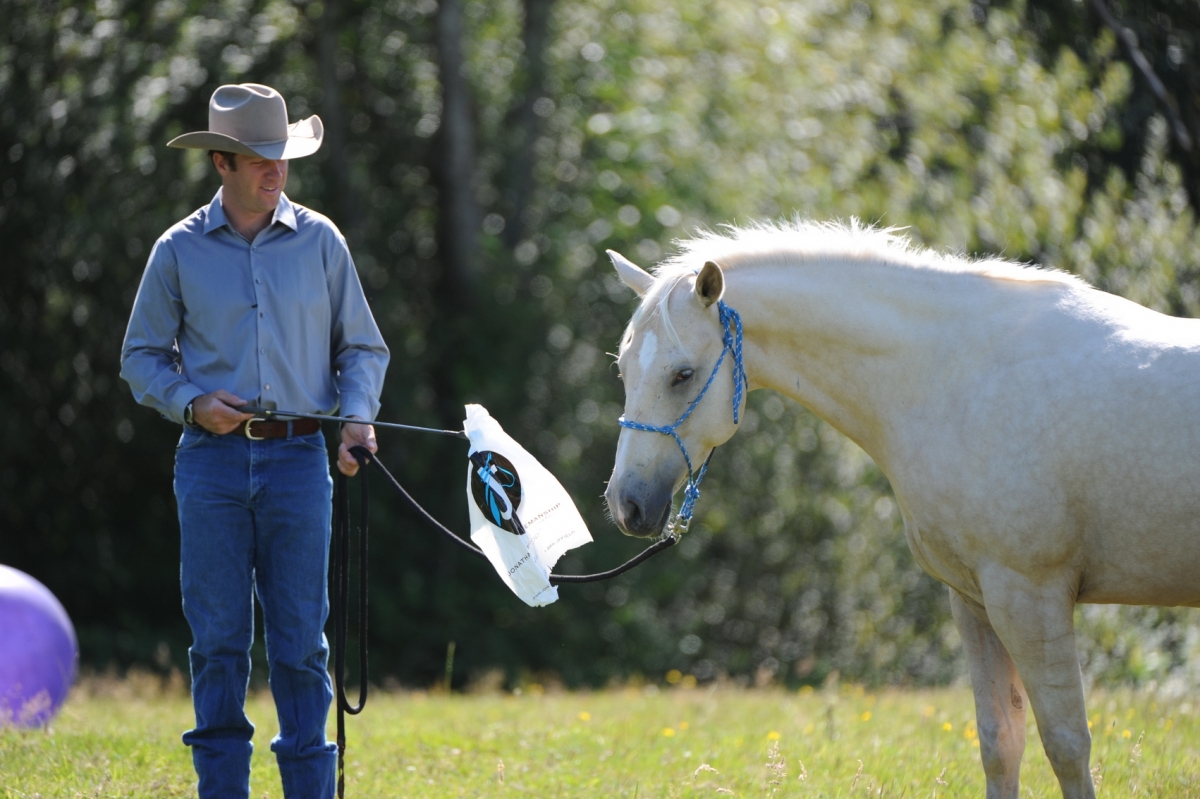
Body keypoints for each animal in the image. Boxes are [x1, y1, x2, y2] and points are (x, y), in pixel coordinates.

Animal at [603, 220, 1200, 799]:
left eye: (682, 374)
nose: (626, 504)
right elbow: (1000, 743)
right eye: (624, 369)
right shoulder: (975, 601)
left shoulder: (1031, 598)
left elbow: (1067, 745)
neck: (957, 377)